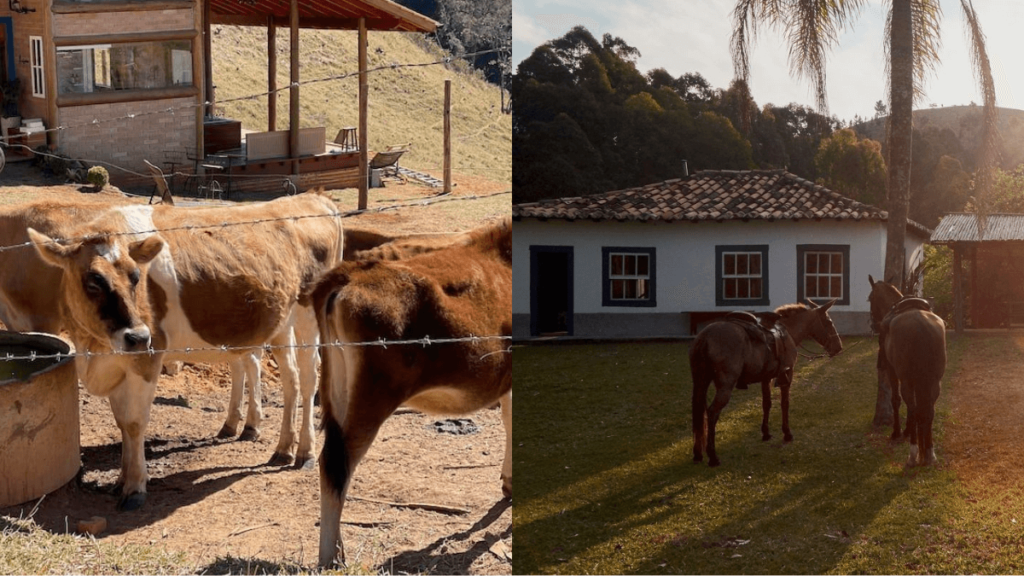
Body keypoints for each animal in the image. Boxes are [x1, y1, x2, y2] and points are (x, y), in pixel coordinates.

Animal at [28, 192, 343, 510]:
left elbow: (134, 423)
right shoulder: (117, 364)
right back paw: (282, 448)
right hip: (279, 322)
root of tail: (311, 198)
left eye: (135, 277)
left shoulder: (147, 358)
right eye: (93, 281)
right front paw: (121, 480)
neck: (94, 349)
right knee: (290, 380)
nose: (138, 337)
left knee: (308, 379)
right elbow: (121, 423)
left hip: (307, 316)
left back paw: (304, 452)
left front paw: (135, 487)